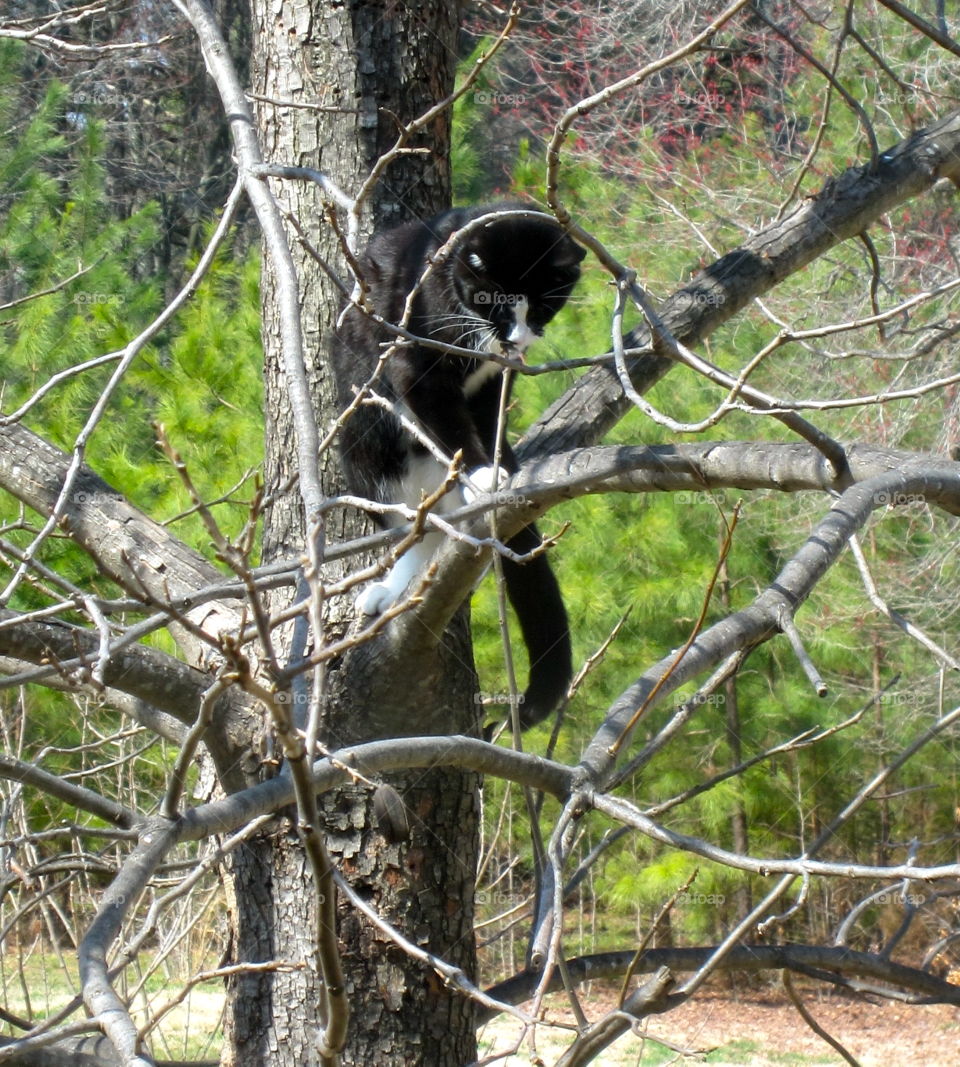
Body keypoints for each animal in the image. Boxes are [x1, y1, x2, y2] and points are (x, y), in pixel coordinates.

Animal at [332, 203, 580, 729]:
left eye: (542, 307)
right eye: (495, 304)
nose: (518, 338)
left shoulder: (492, 384)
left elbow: (484, 421)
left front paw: (497, 463)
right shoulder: (415, 361)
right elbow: (446, 418)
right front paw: (484, 472)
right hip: (363, 445)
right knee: (407, 527)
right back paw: (392, 589)